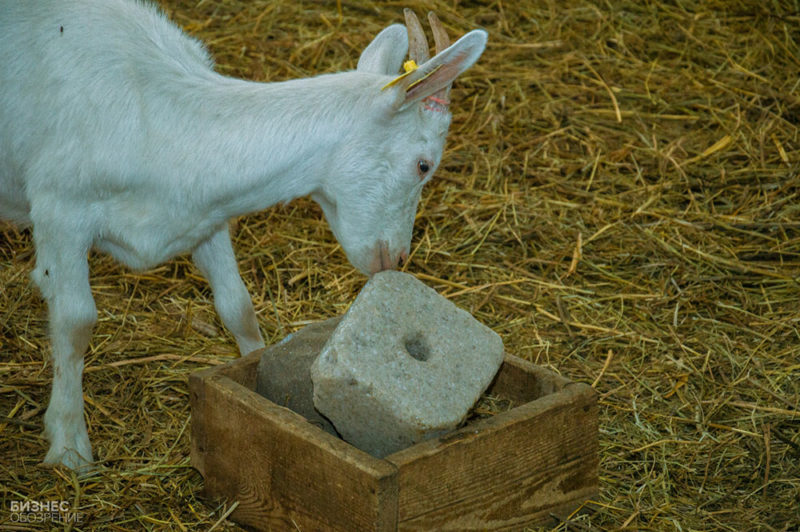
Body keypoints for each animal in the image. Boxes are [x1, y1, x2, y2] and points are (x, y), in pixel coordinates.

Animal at [0, 0, 488, 468]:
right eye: (424, 165)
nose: (398, 258)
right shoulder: (60, 210)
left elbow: (237, 306)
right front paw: (69, 445)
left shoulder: (204, 217)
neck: (156, 122)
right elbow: (75, 321)